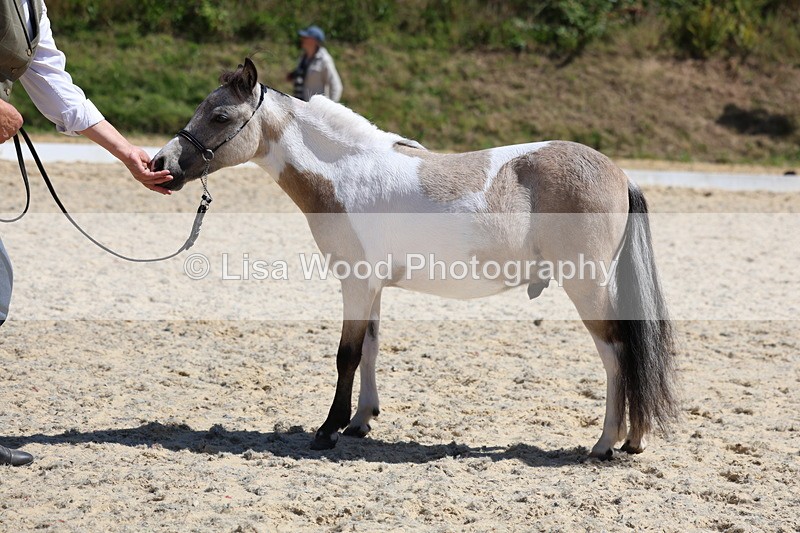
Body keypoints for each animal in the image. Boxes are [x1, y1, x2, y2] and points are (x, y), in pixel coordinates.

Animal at [152, 58, 678, 459]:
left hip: (585, 287)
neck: (346, 175)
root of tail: (619, 174)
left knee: (617, 353)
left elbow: (346, 355)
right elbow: (370, 347)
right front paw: (360, 422)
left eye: (220, 116)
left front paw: (328, 430)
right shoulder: (372, 288)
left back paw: (605, 444)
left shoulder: (355, 283)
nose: (162, 164)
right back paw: (631, 440)